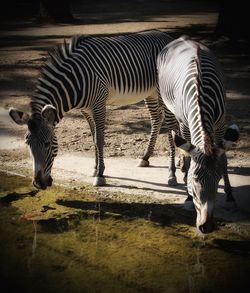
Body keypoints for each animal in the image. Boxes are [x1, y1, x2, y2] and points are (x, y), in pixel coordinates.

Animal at [8, 29, 173, 188]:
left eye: (47, 143)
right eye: (27, 144)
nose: (38, 184)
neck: (74, 80)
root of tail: (167, 36)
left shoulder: (99, 105)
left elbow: (99, 139)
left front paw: (100, 175)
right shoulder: (86, 110)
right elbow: (93, 138)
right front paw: (95, 168)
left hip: (161, 91)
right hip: (151, 93)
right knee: (156, 119)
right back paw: (146, 157)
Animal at [157, 36, 239, 233]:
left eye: (217, 180)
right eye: (194, 180)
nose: (206, 227)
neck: (201, 93)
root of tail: (181, 38)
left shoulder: (220, 124)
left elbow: (223, 160)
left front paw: (230, 196)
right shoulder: (185, 124)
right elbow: (189, 158)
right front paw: (187, 197)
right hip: (167, 108)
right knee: (172, 140)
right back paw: (173, 173)